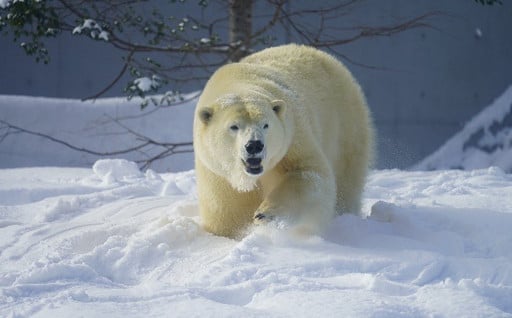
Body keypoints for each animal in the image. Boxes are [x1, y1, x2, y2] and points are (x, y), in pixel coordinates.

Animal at [192, 44, 372, 238]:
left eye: (266, 125)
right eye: (234, 126)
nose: (254, 145)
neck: (237, 80)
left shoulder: (292, 137)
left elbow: (308, 173)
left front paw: (265, 213)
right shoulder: (217, 174)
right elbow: (228, 212)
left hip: (344, 125)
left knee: (347, 177)